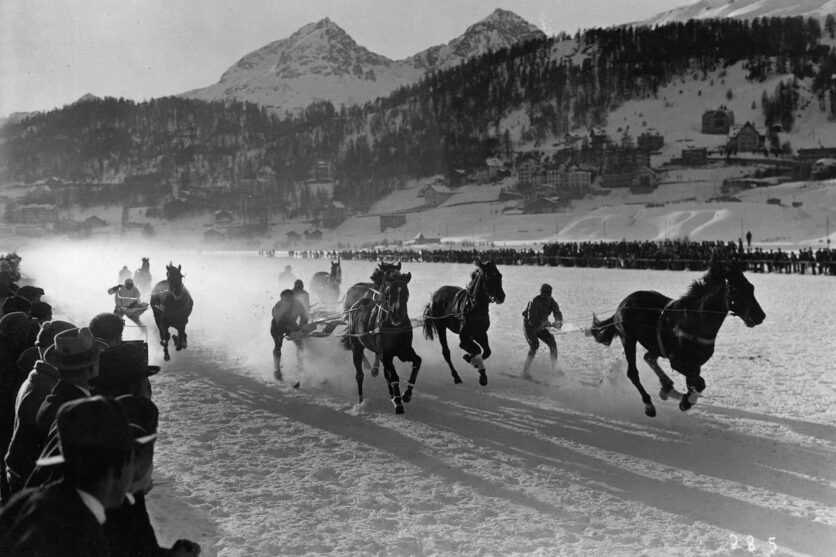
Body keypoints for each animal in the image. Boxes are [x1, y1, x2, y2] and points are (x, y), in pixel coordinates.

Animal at [340, 270, 422, 412]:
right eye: (389, 293)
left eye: (406, 292)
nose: (396, 316)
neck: (395, 327)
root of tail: (356, 304)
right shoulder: (386, 354)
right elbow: (393, 376)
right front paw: (398, 402)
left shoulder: (404, 351)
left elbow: (417, 361)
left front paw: (406, 395)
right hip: (357, 346)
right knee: (359, 374)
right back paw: (361, 401)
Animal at [588, 258, 764, 414]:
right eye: (738, 290)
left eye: (751, 287)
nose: (760, 316)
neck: (695, 320)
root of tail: (622, 304)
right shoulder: (678, 361)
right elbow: (699, 383)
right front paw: (685, 402)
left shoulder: (695, 363)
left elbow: (695, 383)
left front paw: (680, 396)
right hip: (628, 338)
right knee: (633, 373)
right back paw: (649, 405)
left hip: (653, 344)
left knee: (649, 357)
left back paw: (667, 386)